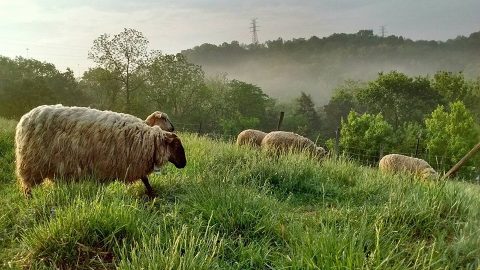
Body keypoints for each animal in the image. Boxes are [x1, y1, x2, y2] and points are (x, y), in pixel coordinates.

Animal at [14, 104, 187, 197]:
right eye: (177, 146)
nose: (184, 164)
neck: (146, 137)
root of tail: (25, 117)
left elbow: (144, 179)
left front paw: (151, 193)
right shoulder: (122, 162)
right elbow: (145, 179)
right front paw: (152, 194)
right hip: (31, 163)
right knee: (27, 188)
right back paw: (30, 202)